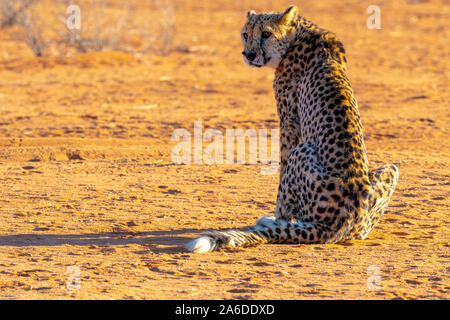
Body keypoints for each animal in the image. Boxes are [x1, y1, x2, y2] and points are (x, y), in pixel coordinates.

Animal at [185, 5, 400, 252]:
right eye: (245, 34)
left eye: (266, 33)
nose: (248, 55)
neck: (298, 34)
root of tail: (342, 222)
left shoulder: (289, 121)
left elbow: (281, 171)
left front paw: (278, 218)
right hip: (391, 171)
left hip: (304, 149)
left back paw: (273, 222)